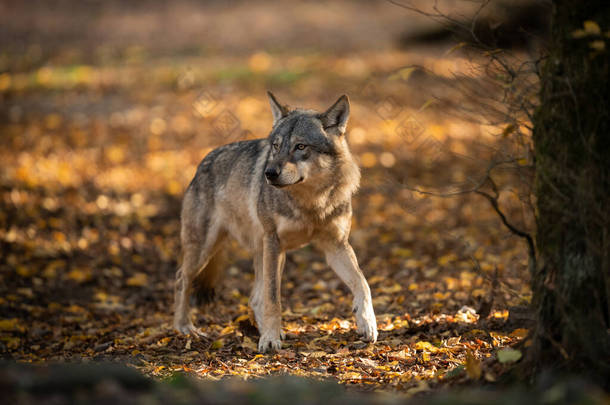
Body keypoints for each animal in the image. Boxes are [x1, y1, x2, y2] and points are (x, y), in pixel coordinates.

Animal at [171, 91, 378, 350]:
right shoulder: (274, 241)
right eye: (276, 146)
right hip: (208, 249)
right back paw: (184, 327)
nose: (268, 173)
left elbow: (363, 283)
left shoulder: (336, 246)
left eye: (300, 146)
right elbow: (273, 299)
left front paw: (367, 323)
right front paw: (269, 340)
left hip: (270, 254)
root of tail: (202, 163)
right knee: (181, 279)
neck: (311, 202)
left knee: (254, 298)